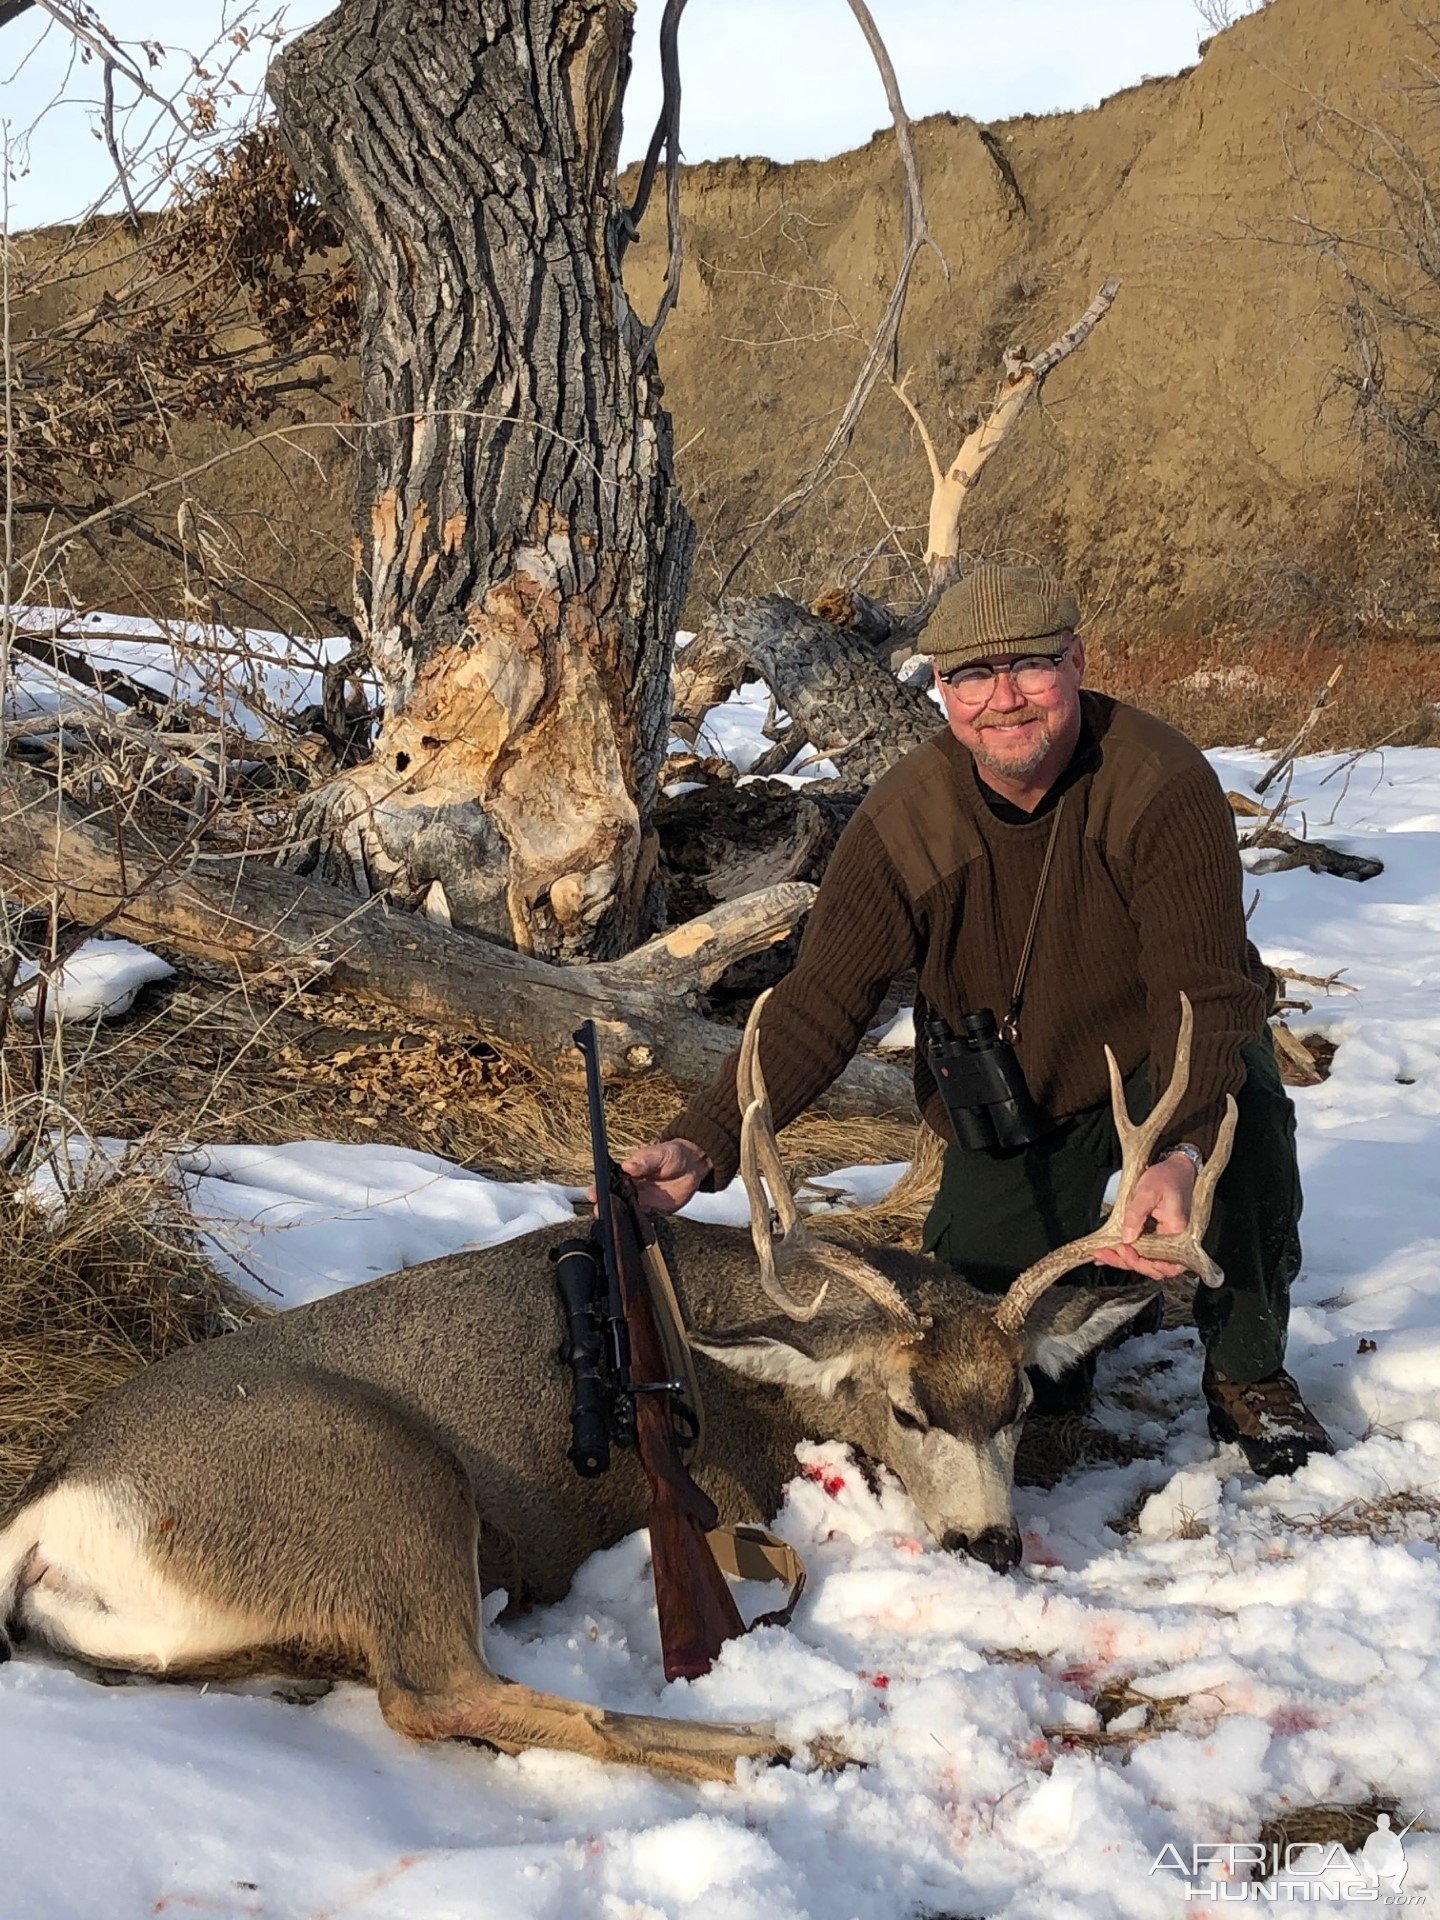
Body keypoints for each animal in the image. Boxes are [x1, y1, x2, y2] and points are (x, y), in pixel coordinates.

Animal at [0, 1006, 1236, 1781]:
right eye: (906, 1409)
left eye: (1018, 1404)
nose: (990, 1543)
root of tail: (47, 1509)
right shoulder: (737, 1488)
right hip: (386, 1481)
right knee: (438, 1692)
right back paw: (783, 1743)